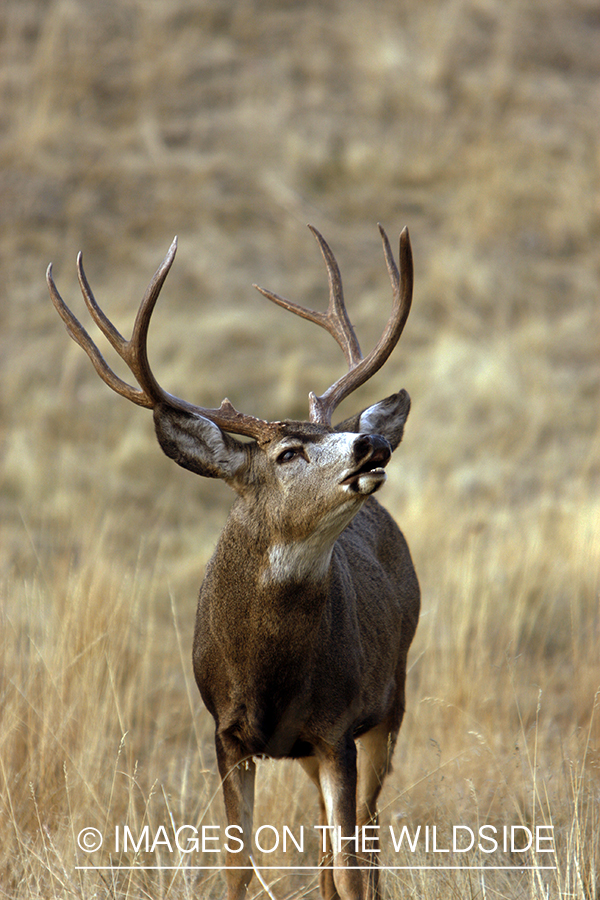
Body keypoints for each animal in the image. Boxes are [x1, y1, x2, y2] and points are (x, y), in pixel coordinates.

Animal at [47, 223, 420, 900]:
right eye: (288, 452)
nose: (371, 442)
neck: (269, 671)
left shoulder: (338, 728)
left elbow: (350, 868)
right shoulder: (225, 731)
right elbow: (238, 864)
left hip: (392, 698)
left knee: (367, 839)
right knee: (328, 845)